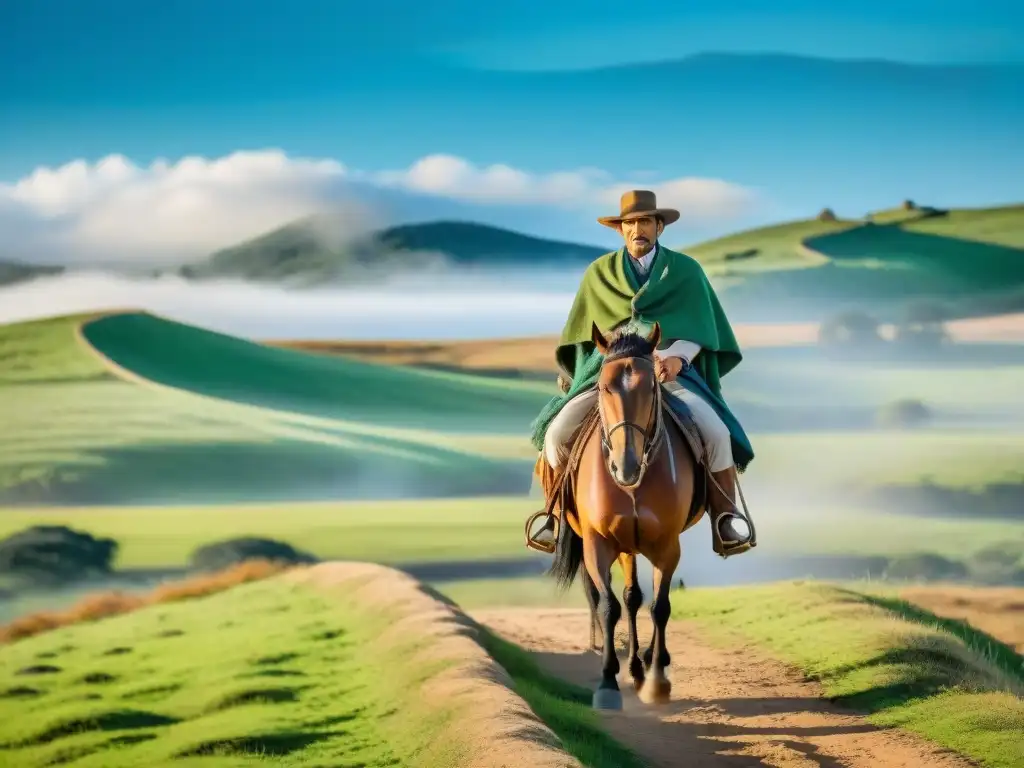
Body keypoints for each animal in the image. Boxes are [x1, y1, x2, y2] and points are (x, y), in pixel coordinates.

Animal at [548, 321, 708, 712]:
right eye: (603, 386)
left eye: (651, 386)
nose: (626, 467)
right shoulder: (599, 543)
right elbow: (610, 606)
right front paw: (608, 682)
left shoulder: (667, 545)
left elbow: (660, 607)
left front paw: (658, 680)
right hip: (624, 546)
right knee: (629, 597)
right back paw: (633, 666)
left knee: (639, 599)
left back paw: (647, 663)